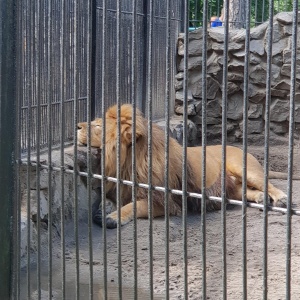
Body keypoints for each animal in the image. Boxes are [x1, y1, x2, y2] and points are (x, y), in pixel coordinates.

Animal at [77, 104, 298, 229]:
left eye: (98, 126)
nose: (77, 126)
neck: (126, 163)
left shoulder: (164, 200)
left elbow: (133, 206)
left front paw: (111, 218)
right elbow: (114, 200)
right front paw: (103, 209)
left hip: (245, 169)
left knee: (269, 184)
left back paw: (281, 199)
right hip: (231, 188)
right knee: (248, 192)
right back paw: (261, 199)